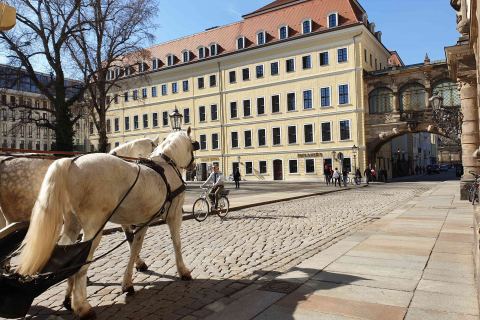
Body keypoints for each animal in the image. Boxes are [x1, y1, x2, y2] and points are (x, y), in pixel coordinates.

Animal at [16, 129, 196, 318]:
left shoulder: (143, 222)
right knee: (82, 264)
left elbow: (134, 248)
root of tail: (71, 163)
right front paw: (183, 271)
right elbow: (177, 243)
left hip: (72, 226)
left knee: (68, 257)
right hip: (94, 229)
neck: (167, 167)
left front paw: (128, 282)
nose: (193, 166)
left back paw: (68, 299)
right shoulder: (174, 216)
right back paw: (82, 307)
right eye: (193, 145)